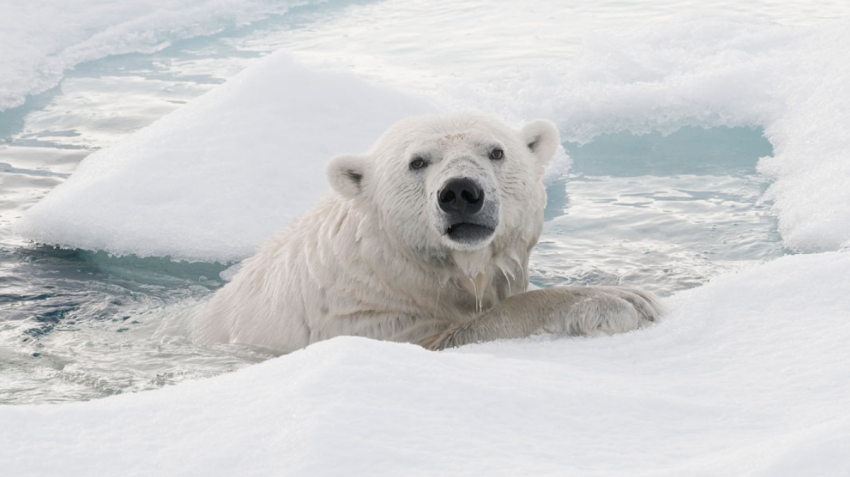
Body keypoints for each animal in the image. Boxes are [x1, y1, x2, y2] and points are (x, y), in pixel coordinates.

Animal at [194, 111, 664, 350]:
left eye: (496, 152)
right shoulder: (364, 319)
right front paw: (619, 301)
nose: (460, 192)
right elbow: (457, 334)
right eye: (417, 161)